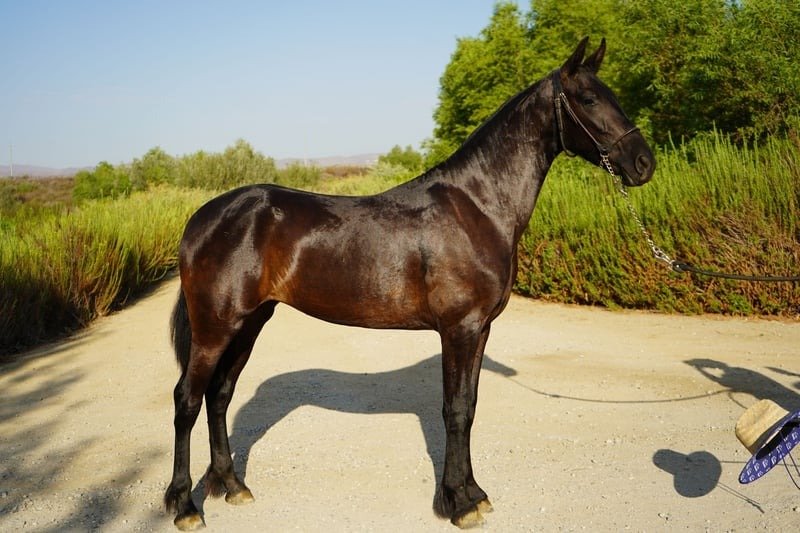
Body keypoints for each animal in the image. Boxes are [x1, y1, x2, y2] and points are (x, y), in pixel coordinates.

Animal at [164, 37, 655, 530]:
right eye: (588, 99)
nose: (643, 163)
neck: (476, 206)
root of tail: (202, 218)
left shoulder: (480, 330)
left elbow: (469, 407)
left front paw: (473, 494)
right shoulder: (458, 329)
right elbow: (453, 410)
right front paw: (458, 503)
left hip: (249, 322)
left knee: (219, 395)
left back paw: (232, 486)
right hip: (215, 327)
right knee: (187, 399)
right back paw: (184, 505)